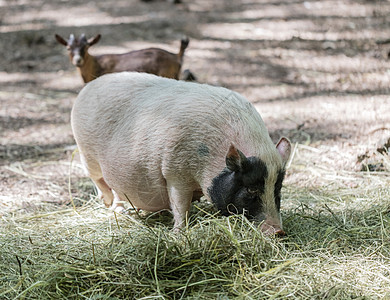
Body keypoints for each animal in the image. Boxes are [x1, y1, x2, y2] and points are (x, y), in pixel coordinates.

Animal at [71, 72, 290, 234]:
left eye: (277, 188)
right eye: (251, 189)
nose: (278, 231)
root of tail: (89, 86)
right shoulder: (175, 173)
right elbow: (179, 205)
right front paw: (178, 233)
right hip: (86, 153)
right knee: (100, 181)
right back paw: (112, 206)